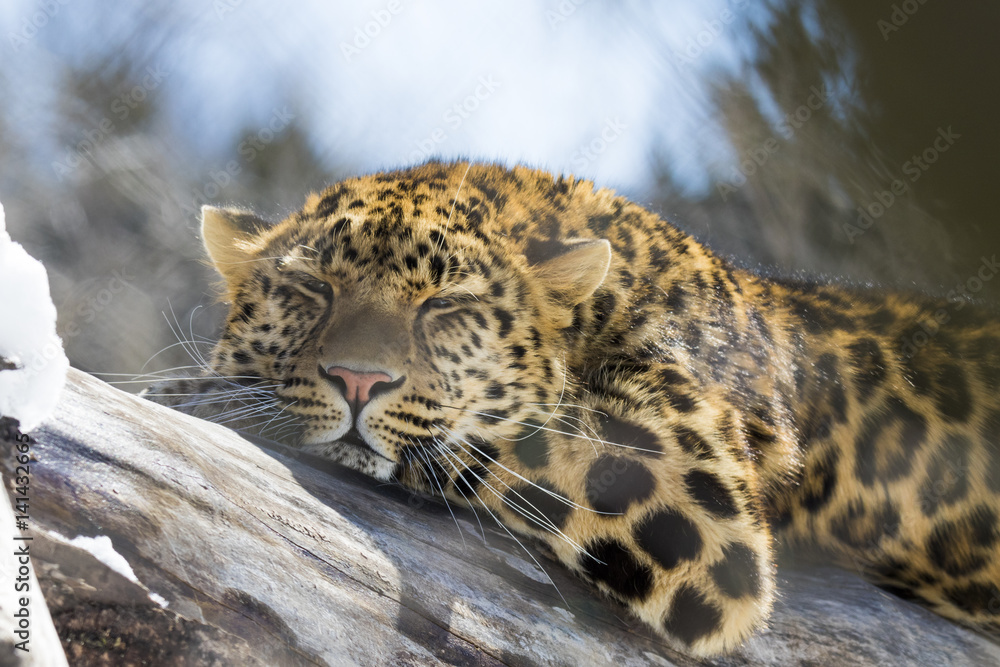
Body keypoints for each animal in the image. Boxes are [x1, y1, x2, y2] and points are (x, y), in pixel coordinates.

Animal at [143, 160, 1000, 656]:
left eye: (445, 306)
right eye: (311, 288)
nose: (356, 380)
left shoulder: (695, 492)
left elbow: (487, 435)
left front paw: (204, 392)